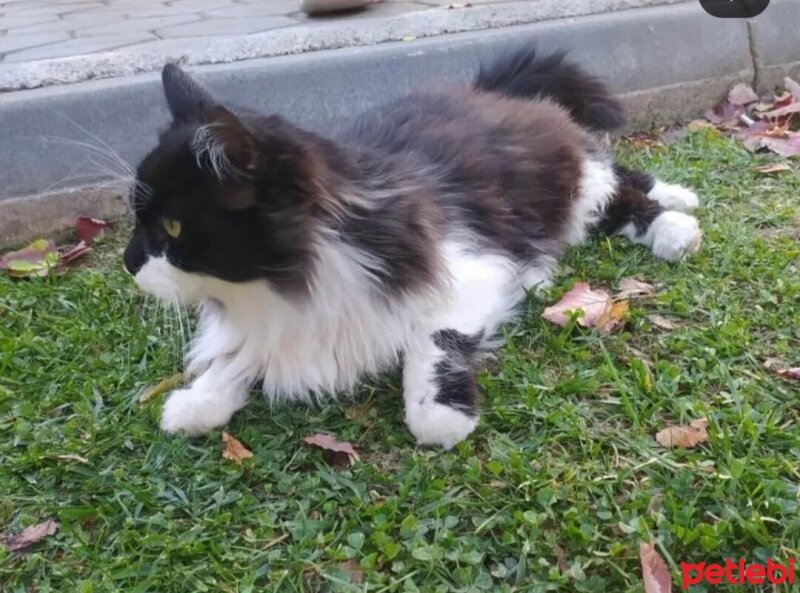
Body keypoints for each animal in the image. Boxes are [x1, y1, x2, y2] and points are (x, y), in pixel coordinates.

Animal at [123, 47, 700, 448]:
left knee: (614, 184)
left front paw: (439, 412)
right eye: (136, 220)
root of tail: (485, 89)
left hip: (565, 181)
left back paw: (675, 220)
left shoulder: (467, 267)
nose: (129, 263)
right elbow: (240, 354)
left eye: (173, 228)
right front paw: (200, 400)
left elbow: (433, 341)